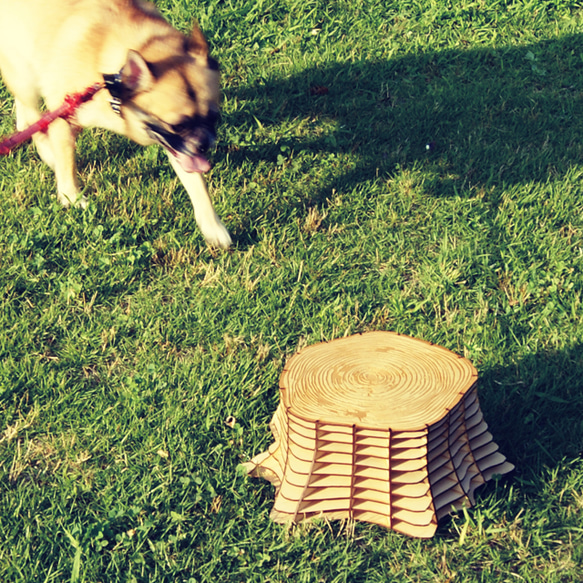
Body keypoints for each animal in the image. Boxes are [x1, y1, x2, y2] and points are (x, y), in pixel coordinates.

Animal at [0, 0, 233, 249]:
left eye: (214, 117)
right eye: (177, 125)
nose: (204, 145)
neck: (113, 83)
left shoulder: (178, 148)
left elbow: (197, 185)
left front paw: (212, 226)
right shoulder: (65, 115)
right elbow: (67, 162)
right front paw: (71, 197)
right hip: (24, 76)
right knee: (33, 113)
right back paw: (45, 148)